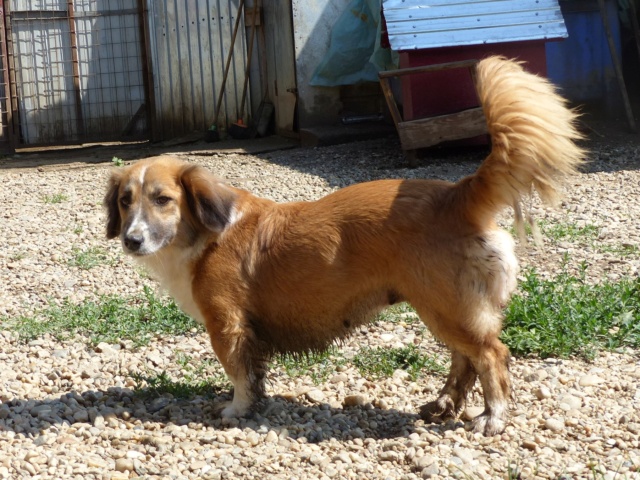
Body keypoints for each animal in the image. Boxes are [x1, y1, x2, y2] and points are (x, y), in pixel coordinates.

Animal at [104, 56, 584, 436]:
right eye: (125, 200)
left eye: (163, 199)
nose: (131, 240)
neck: (207, 234)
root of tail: (456, 194)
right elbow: (255, 375)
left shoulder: (227, 325)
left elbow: (239, 374)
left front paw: (237, 410)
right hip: (446, 307)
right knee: (463, 359)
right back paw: (443, 404)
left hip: (446, 306)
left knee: (491, 356)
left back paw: (492, 416)